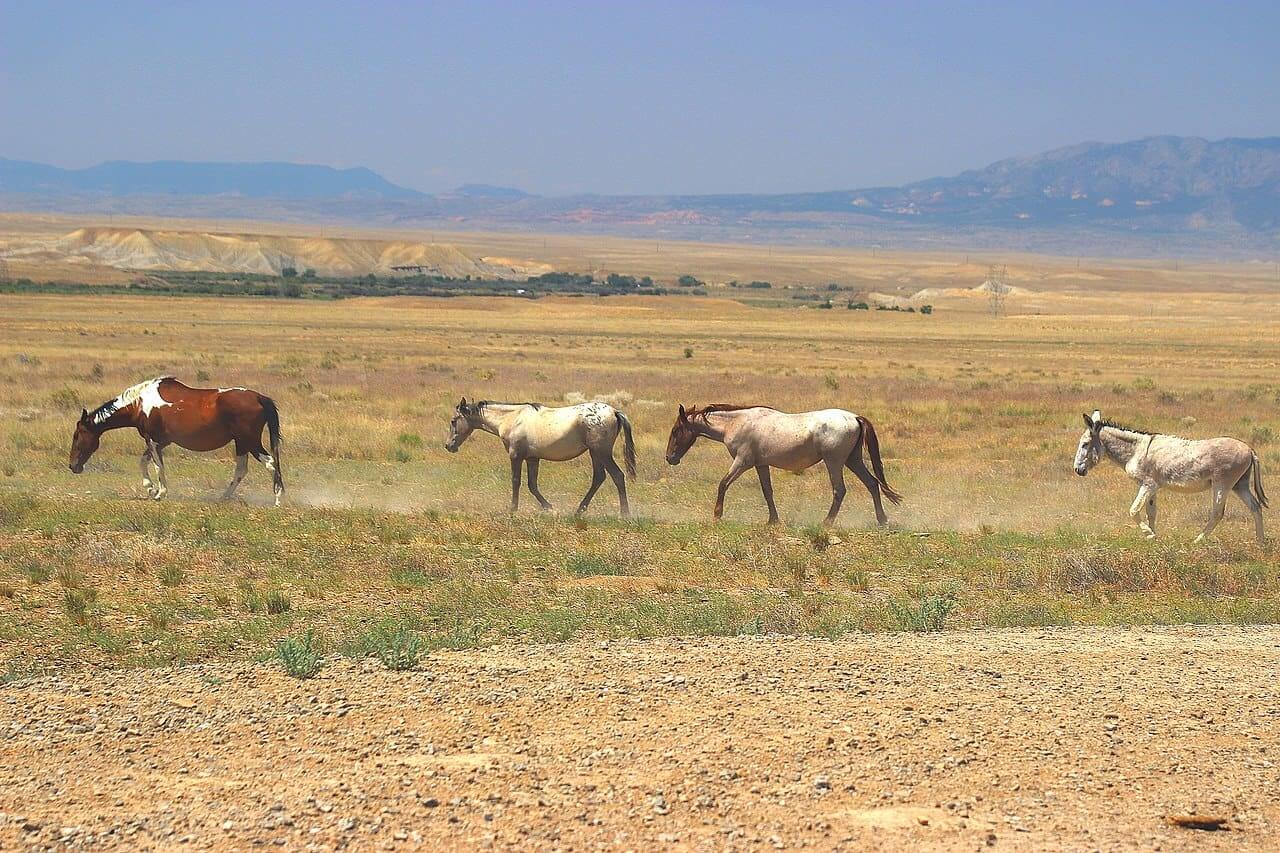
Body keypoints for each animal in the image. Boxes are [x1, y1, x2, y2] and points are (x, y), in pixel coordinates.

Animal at [68, 376, 284, 506]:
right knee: (241, 470)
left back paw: (277, 499)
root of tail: (259, 397)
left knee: (271, 463)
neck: (139, 404)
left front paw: (159, 493)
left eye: (77, 435)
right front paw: (150, 488)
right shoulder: (161, 441)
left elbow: (158, 467)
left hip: (250, 441)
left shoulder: (153, 441)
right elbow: (143, 462)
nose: (73, 466)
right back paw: (223, 497)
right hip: (241, 443)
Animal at [445, 397, 636, 517]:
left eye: (453, 421)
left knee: (617, 476)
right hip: (594, 453)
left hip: (601, 452)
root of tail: (614, 411)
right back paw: (579, 511)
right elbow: (532, 485)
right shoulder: (532, 458)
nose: (448, 446)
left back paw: (625, 513)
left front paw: (513, 510)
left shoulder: (516, 456)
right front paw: (549, 508)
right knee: (599, 478)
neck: (511, 418)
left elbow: (516, 481)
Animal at [665, 404, 902, 526]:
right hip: (853, 460)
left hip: (834, 462)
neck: (736, 423)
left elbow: (723, 484)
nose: (670, 458)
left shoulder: (742, 462)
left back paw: (826, 522)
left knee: (840, 490)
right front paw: (773, 520)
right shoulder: (761, 465)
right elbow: (767, 491)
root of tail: (854, 417)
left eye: (675, 430)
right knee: (872, 484)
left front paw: (717, 515)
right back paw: (882, 520)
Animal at [1074, 410, 1267, 544]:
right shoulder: (1153, 487)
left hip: (1222, 484)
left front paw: (1149, 534)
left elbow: (1134, 510)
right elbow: (1151, 512)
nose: (1077, 470)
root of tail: (1250, 450)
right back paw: (1260, 542)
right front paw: (1153, 536)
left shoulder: (1148, 485)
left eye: (1084, 444)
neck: (1135, 451)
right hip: (1239, 484)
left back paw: (1197, 541)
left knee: (1218, 513)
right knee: (1255, 507)